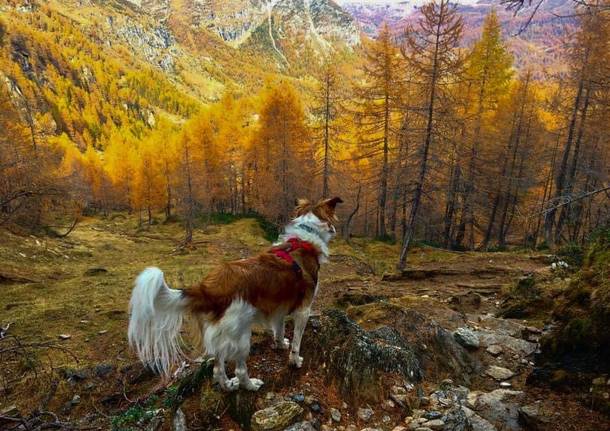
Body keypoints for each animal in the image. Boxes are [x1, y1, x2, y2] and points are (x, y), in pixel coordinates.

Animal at [127, 197, 342, 394]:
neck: (304, 240)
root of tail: (209, 288)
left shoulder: (279, 307)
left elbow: (279, 330)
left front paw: (281, 344)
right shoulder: (304, 310)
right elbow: (297, 343)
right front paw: (295, 361)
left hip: (223, 335)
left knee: (217, 369)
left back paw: (229, 386)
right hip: (241, 336)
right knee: (239, 369)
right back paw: (250, 385)